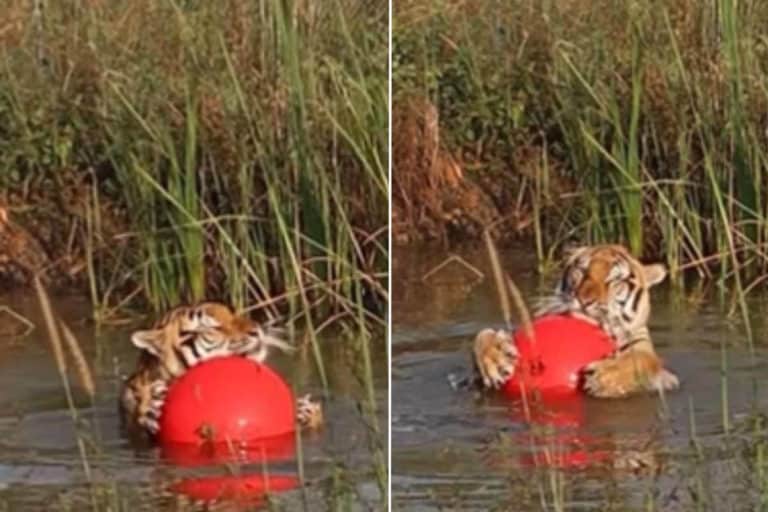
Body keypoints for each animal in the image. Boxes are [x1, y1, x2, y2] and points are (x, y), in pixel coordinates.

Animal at [473, 244, 679, 398]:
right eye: (582, 270)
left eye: (613, 280)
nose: (584, 300)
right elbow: (483, 335)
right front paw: (496, 359)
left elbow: (643, 359)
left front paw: (603, 376)